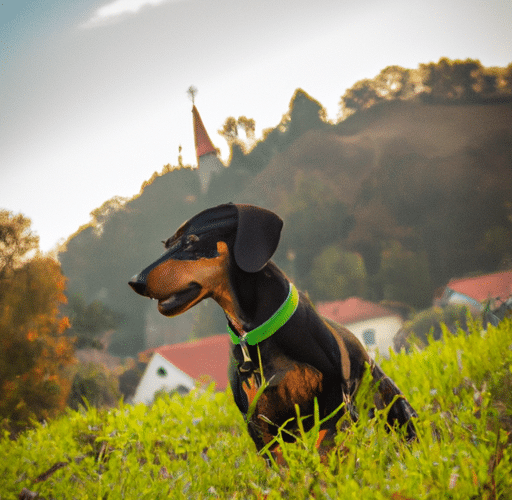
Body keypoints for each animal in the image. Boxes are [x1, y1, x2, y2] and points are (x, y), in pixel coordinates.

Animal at [128, 203, 416, 460]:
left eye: (190, 242)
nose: (135, 282)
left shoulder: (334, 406)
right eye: (167, 244)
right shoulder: (260, 425)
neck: (253, 333)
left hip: (394, 409)